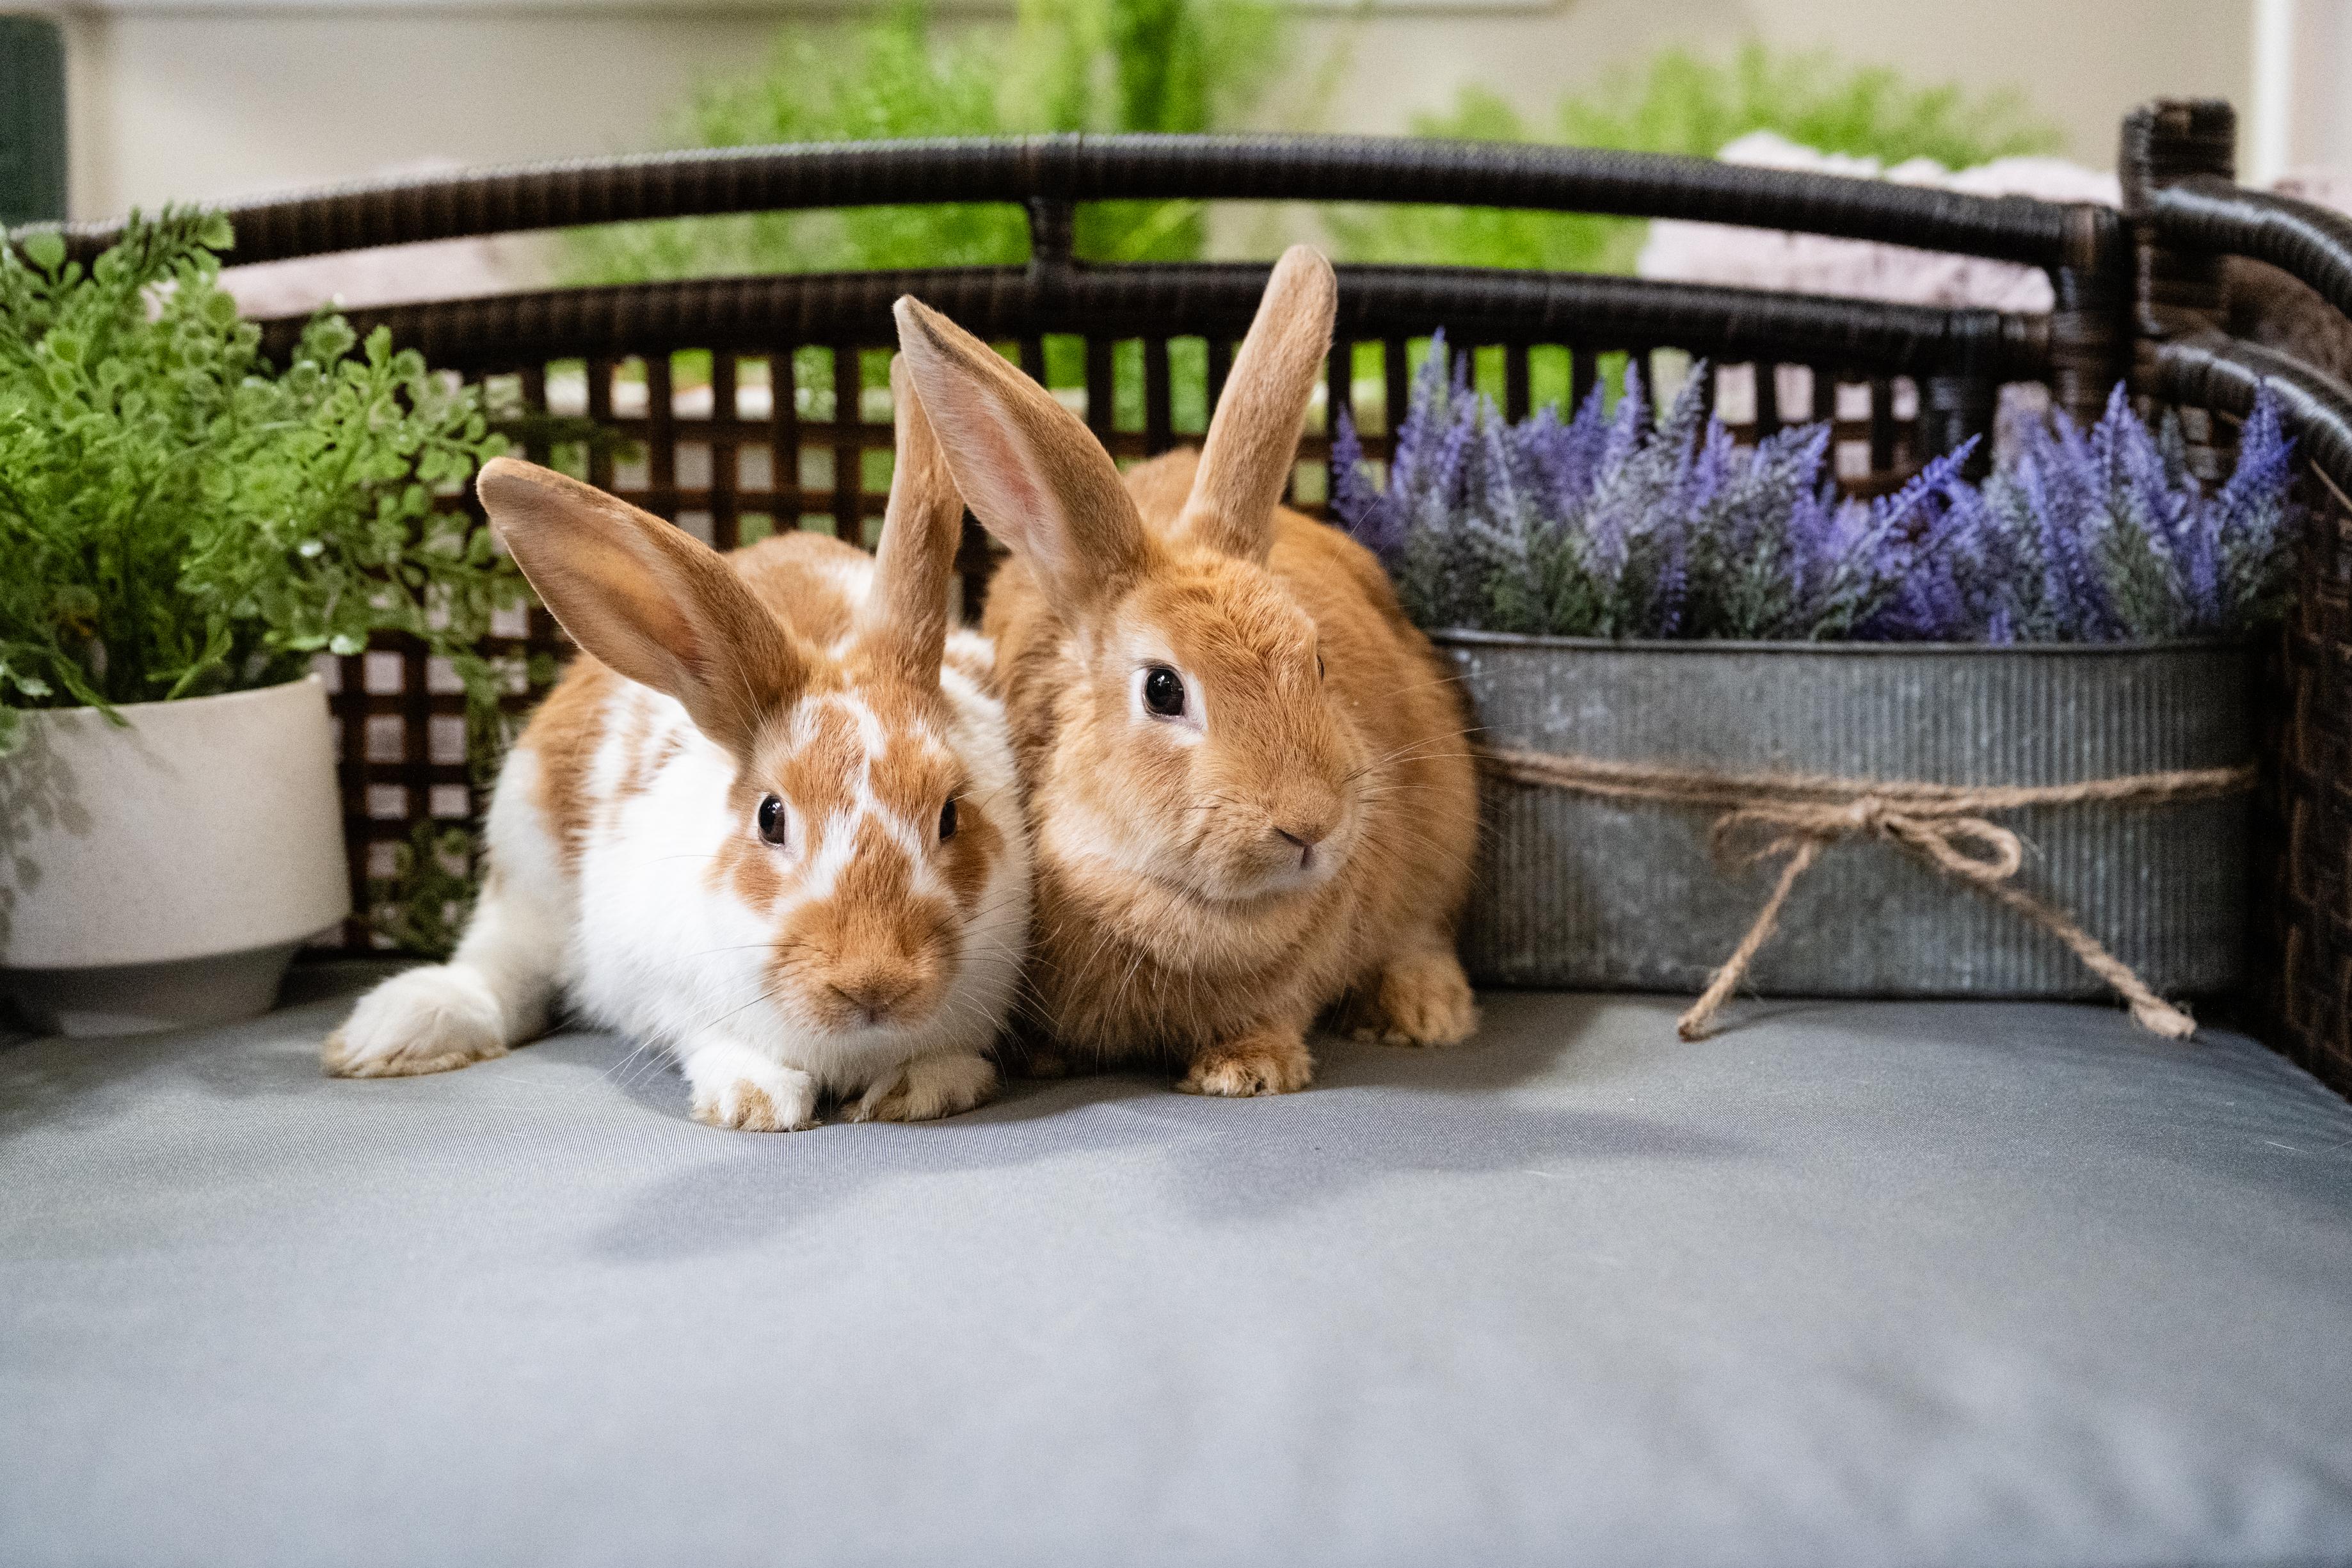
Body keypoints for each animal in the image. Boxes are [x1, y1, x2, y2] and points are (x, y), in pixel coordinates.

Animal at [322, 361, 1031, 1130]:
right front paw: (755, 1100)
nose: (874, 981)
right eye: (771, 817)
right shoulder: (654, 978)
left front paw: (922, 1087)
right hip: (527, 864)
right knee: (498, 964)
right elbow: (707, 1038)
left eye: (950, 815)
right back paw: (394, 1032)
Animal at [891, 244, 1478, 1098]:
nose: (1310, 823)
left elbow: (1274, 1014)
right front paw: (1044, 1058)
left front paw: (1245, 1071)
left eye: (1319, 661)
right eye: (1163, 689)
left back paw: (1427, 1012)